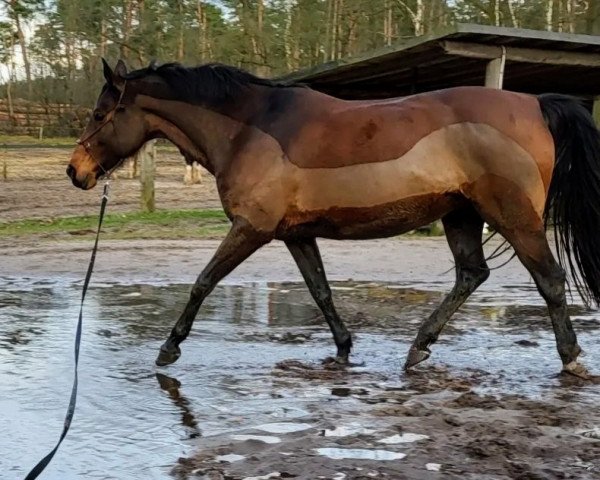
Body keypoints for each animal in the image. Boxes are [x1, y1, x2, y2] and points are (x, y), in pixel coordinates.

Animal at [68, 59, 600, 378]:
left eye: (99, 113)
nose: (76, 171)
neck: (251, 128)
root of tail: (533, 102)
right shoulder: (295, 235)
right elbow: (320, 290)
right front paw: (344, 347)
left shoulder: (251, 229)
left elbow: (202, 282)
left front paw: (169, 349)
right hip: (461, 216)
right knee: (472, 274)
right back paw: (418, 347)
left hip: (514, 218)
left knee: (549, 279)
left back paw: (571, 359)